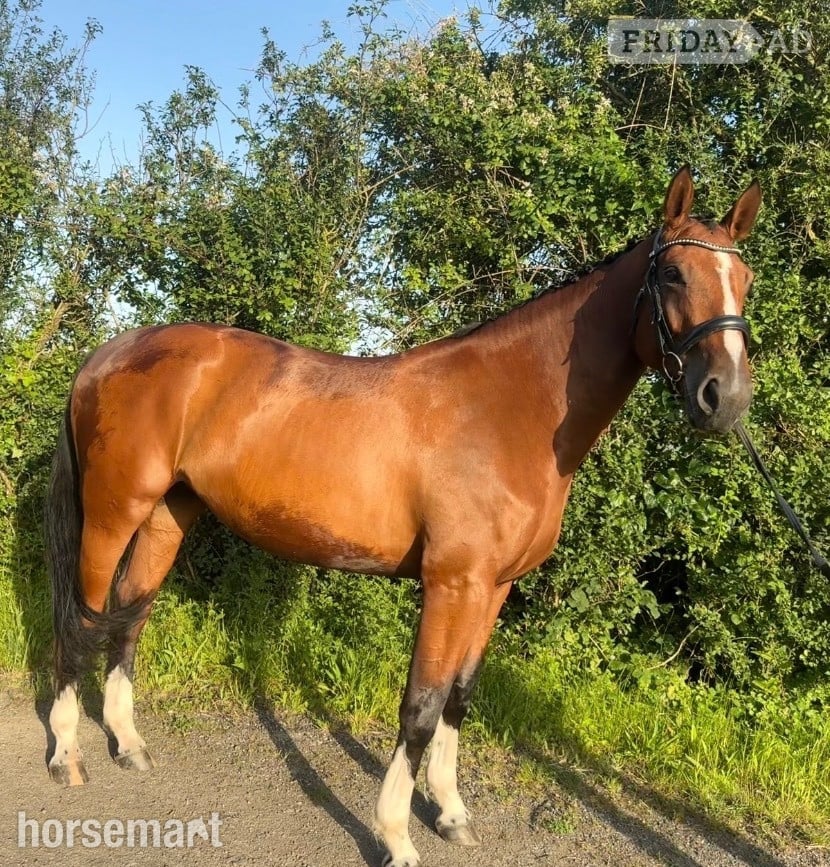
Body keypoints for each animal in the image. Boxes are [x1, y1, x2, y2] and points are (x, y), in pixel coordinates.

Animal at [45, 166, 761, 867]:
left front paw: (450, 813)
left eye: (745, 281)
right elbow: (420, 705)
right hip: (111, 515)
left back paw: (128, 743)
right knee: (82, 618)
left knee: (130, 614)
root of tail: (109, 352)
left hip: (167, 513)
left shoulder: (493, 588)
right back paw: (68, 754)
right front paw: (395, 834)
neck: (508, 410)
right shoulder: (451, 584)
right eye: (673, 275)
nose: (724, 398)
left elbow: (460, 697)